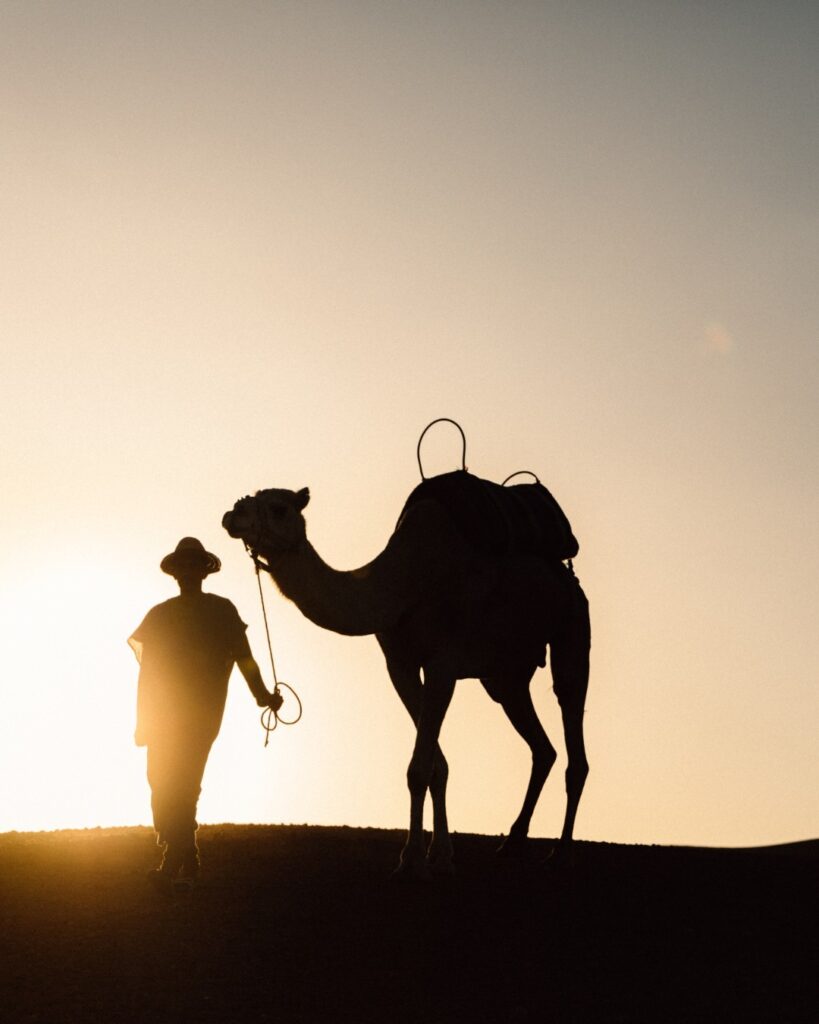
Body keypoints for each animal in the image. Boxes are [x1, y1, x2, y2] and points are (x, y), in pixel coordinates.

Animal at [222, 484, 590, 876]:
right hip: (505, 676)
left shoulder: (443, 663)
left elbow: (419, 767)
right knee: (542, 747)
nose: (233, 515)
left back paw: (561, 852)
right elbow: (436, 767)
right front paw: (440, 854)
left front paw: (412, 857)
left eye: (278, 508)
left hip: (572, 624)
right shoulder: (400, 666)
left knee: (571, 720)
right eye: (246, 500)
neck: (400, 584)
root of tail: (567, 577)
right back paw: (512, 842)